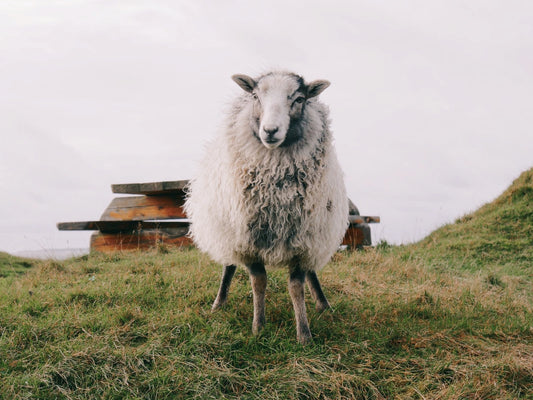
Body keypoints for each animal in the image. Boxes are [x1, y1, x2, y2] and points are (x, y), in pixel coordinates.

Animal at [185, 71, 348, 344]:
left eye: (299, 98)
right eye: (255, 96)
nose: (270, 131)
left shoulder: (301, 240)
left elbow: (296, 287)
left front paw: (304, 334)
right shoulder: (249, 241)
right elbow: (259, 283)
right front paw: (258, 327)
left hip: (315, 232)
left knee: (312, 271)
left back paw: (323, 304)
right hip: (227, 228)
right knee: (228, 266)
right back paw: (219, 303)